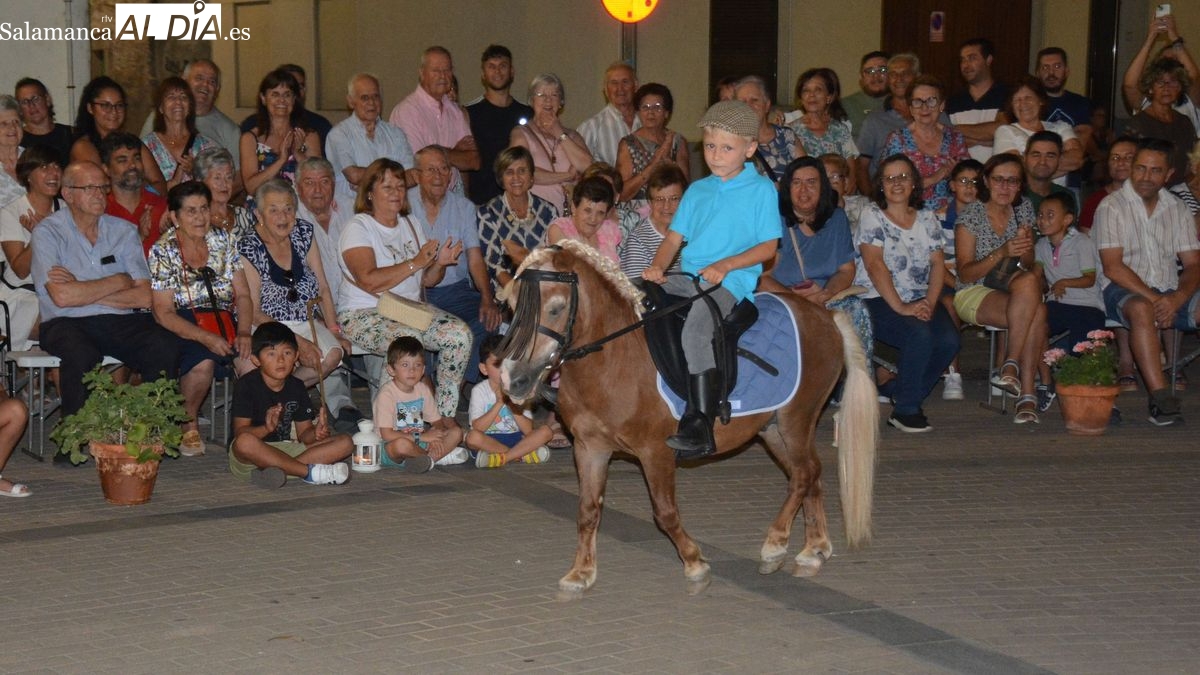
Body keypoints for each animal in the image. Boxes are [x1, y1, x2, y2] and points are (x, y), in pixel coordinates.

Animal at [498, 240, 877, 596]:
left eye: (555, 308)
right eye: (512, 305)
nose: (512, 379)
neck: (616, 359)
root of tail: (826, 315)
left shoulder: (656, 452)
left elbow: (664, 512)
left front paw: (695, 564)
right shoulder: (590, 448)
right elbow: (588, 510)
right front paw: (580, 573)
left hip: (795, 420)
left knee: (802, 474)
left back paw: (775, 545)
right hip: (772, 429)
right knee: (812, 473)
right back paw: (813, 549)